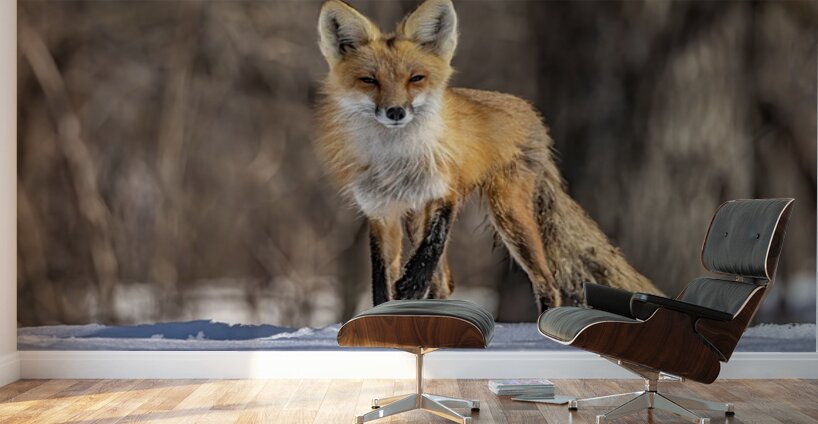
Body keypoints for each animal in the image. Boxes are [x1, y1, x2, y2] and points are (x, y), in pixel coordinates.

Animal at [314, 0, 662, 312]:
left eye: (415, 78)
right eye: (369, 80)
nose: (396, 112)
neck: (397, 158)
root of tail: (530, 112)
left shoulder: (446, 191)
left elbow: (432, 245)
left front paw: (411, 284)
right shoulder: (380, 211)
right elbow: (380, 282)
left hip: (509, 215)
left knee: (547, 283)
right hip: (420, 218)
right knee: (445, 283)